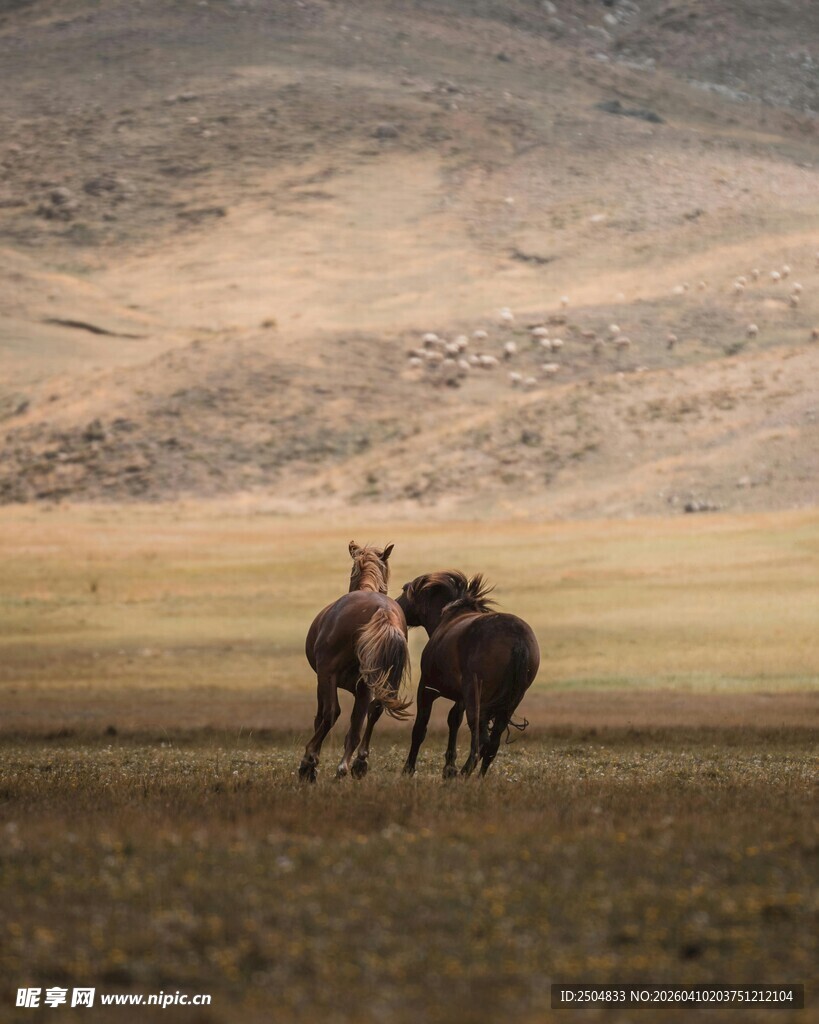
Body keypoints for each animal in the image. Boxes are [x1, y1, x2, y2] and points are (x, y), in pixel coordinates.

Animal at [299, 541, 412, 782]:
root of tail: (383, 611)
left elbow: (321, 716)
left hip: (329, 675)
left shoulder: (323, 678)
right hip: (381, 680)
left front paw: (312, 764)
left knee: (331, 713)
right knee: (372, 711)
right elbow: (359, 721)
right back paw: (353, 764)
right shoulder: (366, 686)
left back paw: (308, 762)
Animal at [396, 571, 539, 778]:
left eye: (404, 590)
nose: (396, 606)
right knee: (493, 743)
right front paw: (449, 767)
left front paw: (408, 769)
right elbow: (453, 721)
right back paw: (477, 777)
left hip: (476, 697)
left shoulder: (427, 688)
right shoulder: (461, 698)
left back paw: (465, 773)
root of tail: (518, 639)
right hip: (511, 702)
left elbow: (420, 728)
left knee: (481, 738)